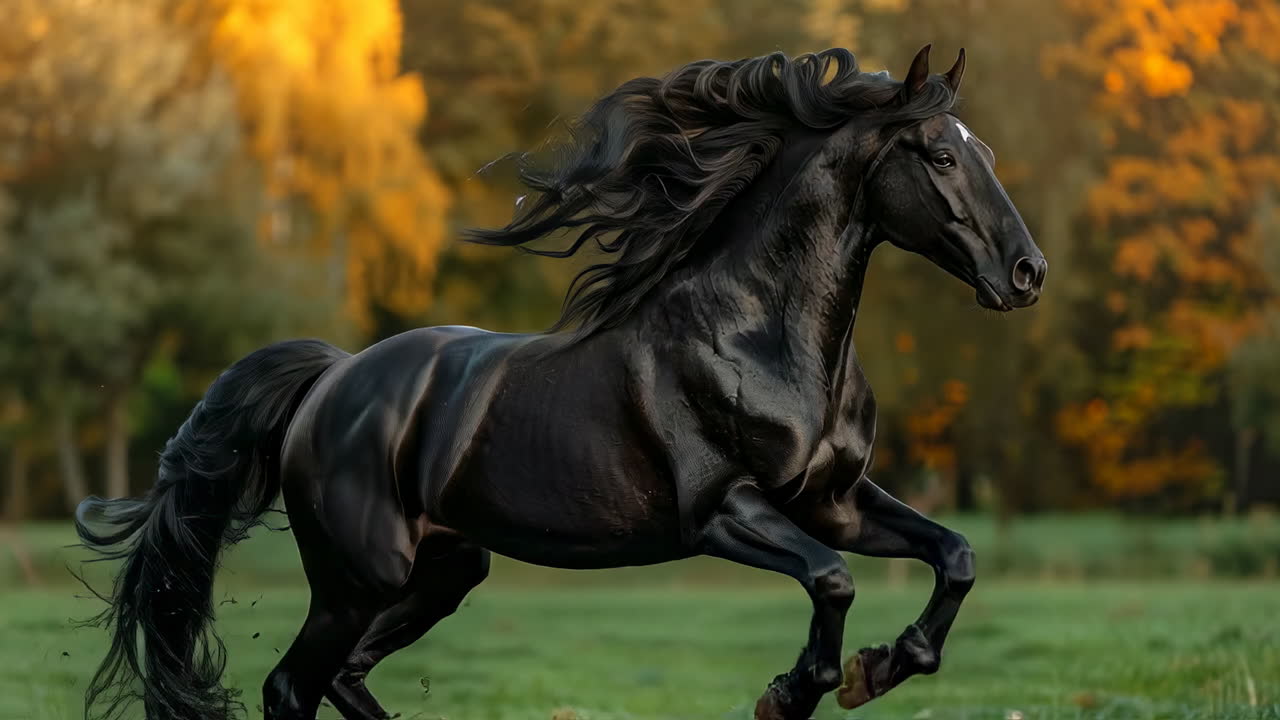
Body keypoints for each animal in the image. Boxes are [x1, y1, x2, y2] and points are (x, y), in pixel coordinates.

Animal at [76, 44, 1046, 720]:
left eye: (989, 150)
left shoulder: (834, 501)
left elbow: (954, 556)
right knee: (290, 687)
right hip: (359, 576)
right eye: (938, 154)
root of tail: (334, 379)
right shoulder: (722, 512)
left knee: (342, 679)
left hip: (443, 569)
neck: (761, 338)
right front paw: (798, 687)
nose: (1028, 273)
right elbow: (834, 581)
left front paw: (880, 667)